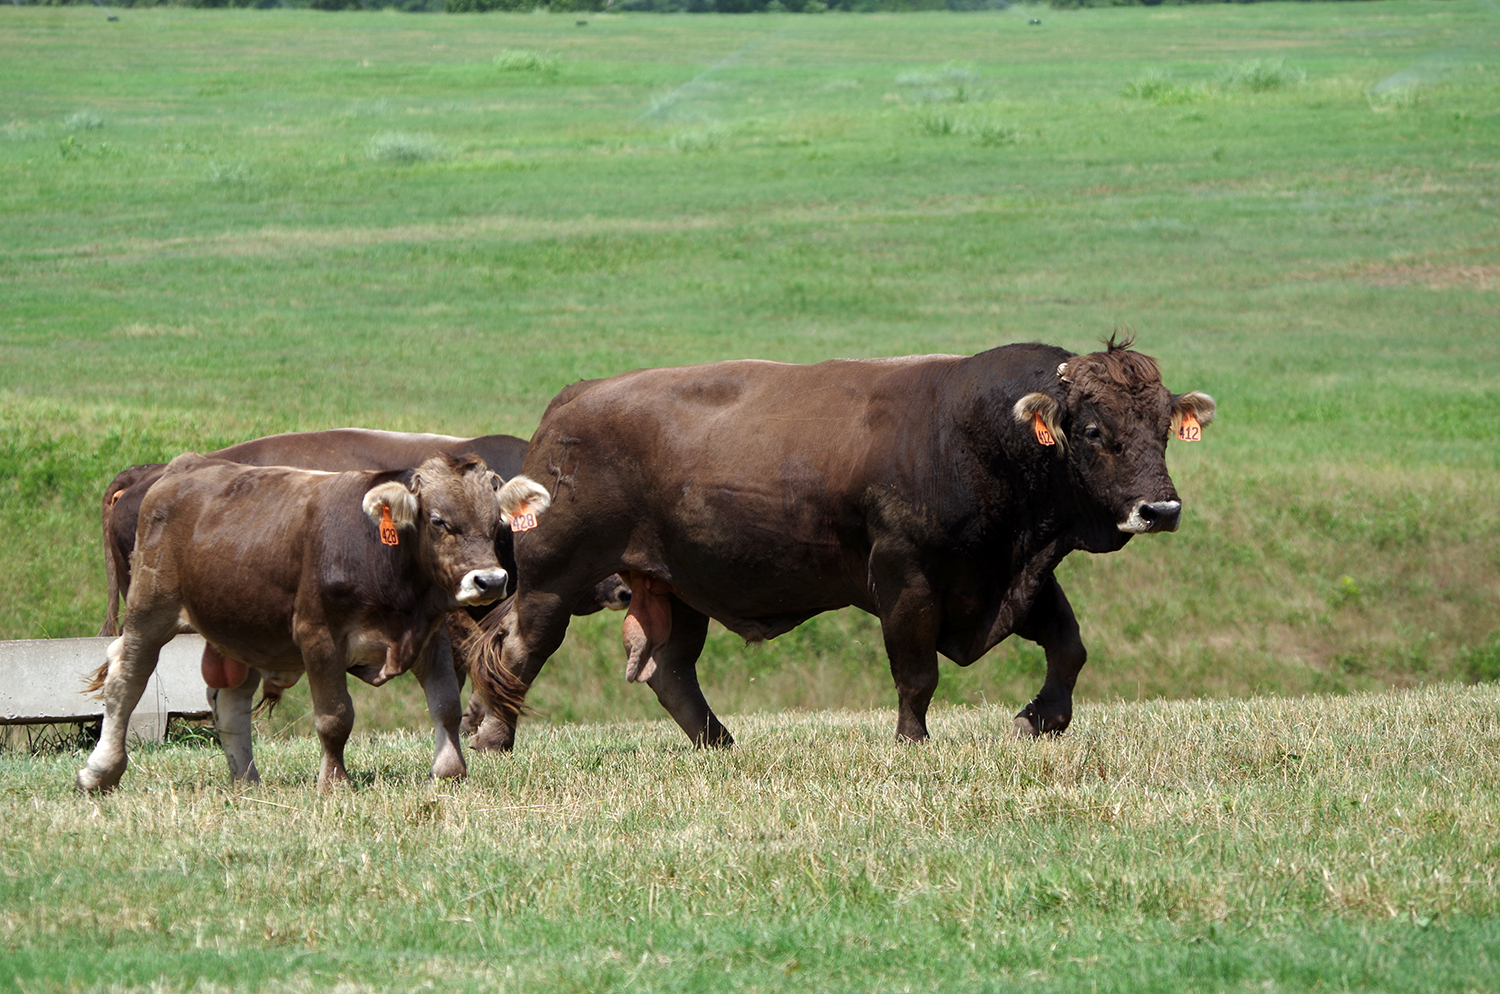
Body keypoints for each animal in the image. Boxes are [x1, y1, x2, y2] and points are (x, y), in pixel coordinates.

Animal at [474, 334, 1212, 746]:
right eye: (1092, 430)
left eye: (1163, 427)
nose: (1160, 507)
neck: (972, 433)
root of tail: (571, 401)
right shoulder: (907, 579)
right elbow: (917, 671)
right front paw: (912, 741)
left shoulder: (1012, 576)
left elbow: (1069, 646)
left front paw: (1040, 719)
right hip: (555, 582)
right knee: (521, 648)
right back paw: (493, 737)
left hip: (675, 587)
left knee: (671, 670)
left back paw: (721, 743)